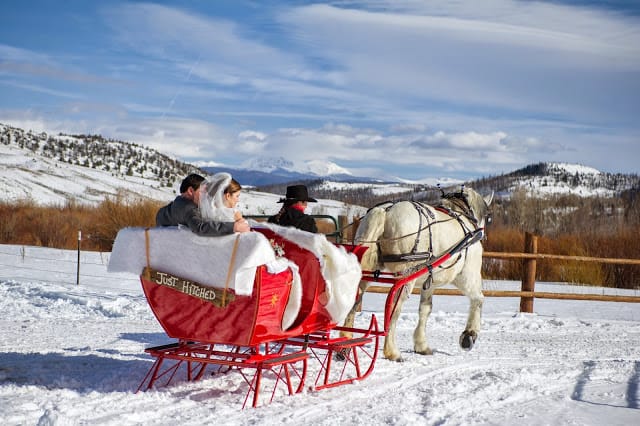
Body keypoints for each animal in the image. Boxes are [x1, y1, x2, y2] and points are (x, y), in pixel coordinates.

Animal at [342, 187, 492, 362]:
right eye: (488, 217)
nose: (484, 234)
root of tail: (385, 210)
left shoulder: (429, 282)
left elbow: (425, 309)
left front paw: (421, 345)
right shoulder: (467, 276)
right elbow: (478, 299)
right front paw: (469, 335)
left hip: (369, 268)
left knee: (355, 298)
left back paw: (345, 343)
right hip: (406, 276)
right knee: (393, 309)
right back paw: (392, 351)